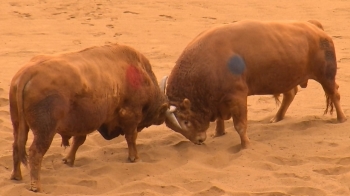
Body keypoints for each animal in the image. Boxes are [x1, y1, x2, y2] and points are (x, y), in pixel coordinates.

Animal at [9, 43, 179, 191]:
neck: (140, 72)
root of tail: (29, 72)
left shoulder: (84, 122)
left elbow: (78, 141)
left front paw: (69, 160)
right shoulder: (131, 114)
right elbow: (131, 137)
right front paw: (134, 157)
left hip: (18, 124)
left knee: (16, 146)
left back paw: (16, 176)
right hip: (45, 131)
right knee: (35, 153)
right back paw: (36, 186)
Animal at [164, 19, 348, 148]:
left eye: (185, 121)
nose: (199, 140)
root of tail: (315, 27)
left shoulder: (237, 96)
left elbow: (240, 125)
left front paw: (245, 145)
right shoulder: (218, 99)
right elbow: (220, 120)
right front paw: (219, 133)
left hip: (326, 76)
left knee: (334, 93)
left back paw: (341, 118)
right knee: (290, 94)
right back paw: (277, 118)